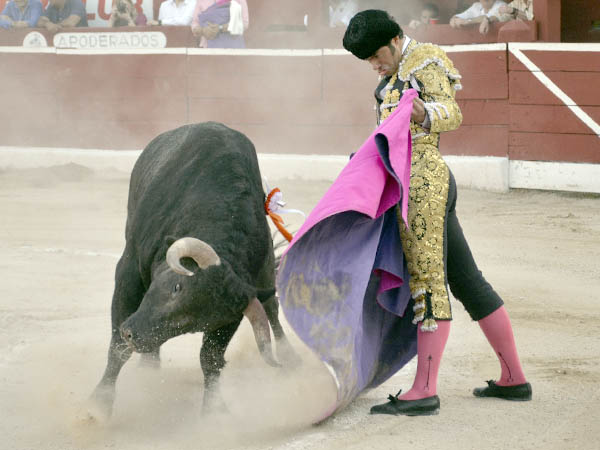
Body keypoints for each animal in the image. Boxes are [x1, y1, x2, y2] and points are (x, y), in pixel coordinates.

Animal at [88, 122, 298, 420]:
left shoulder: (234, 310)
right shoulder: (128, 272)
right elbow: (117, 347)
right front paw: (98, 406)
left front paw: (213, 410)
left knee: (271, 309)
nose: (133, 335)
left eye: (198, 323)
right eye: (176, 287)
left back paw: (291, 360)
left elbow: (211, 359)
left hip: (266, 271)